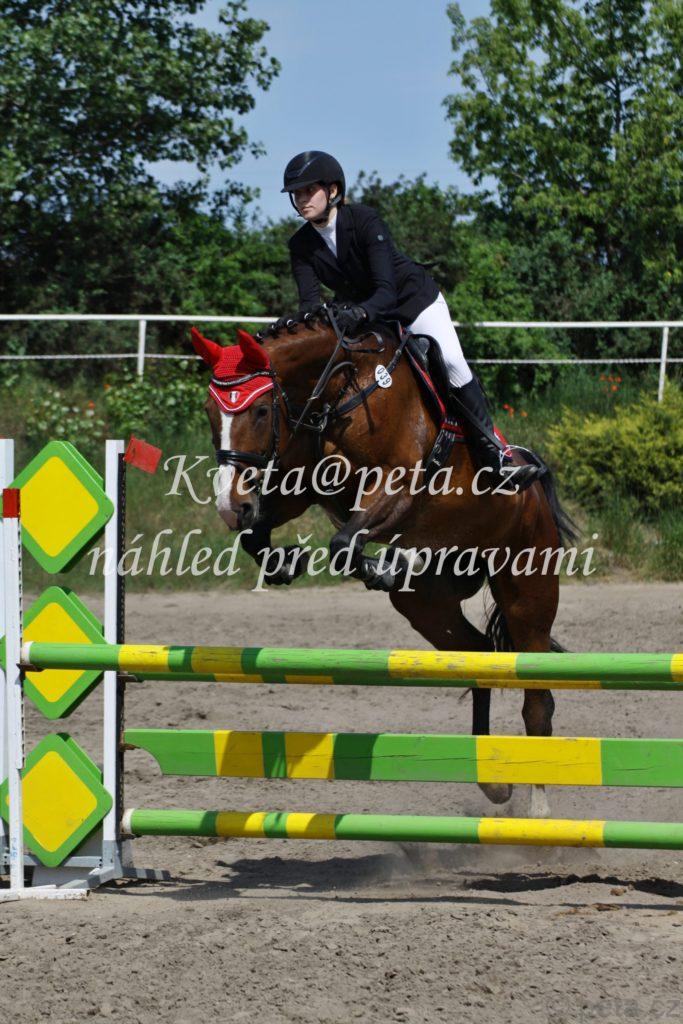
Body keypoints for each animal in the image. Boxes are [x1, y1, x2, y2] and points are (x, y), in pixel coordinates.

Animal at [191, 310, 577, 814]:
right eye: (209, 411)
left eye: (259, 411)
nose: (229, 506)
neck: (339, 390)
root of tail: (535, 487)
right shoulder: (301, 484)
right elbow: (262, 533)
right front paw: (286, 562)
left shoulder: (397, 486)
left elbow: (343, 543)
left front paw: (378, 566)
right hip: (428, 606)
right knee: (477, 656)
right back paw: (493, 784)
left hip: (527, 592)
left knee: (537, 700)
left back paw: (539, 813)